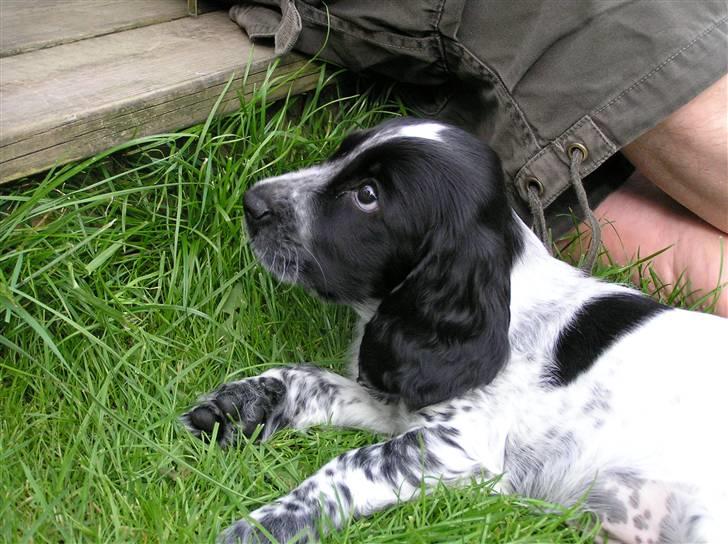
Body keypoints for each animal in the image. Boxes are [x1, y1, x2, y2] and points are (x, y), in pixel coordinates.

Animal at [183, 119, 728, 544]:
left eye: (367, 196)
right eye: (341, 152)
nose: (252, 202)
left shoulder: (457, 445)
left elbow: (348, 464)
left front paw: (264, 524)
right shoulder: (404, 401)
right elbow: (310, 379)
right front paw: (240, 407)